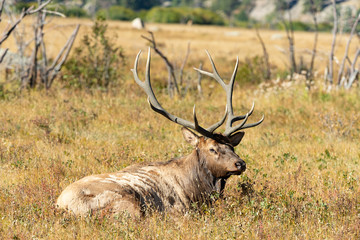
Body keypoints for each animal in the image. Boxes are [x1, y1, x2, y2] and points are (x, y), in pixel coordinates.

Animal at [56, 48, 264, 218]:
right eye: (212, 149)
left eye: (232, 146)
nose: (240, 163)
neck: (197, 190)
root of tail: (61, 205)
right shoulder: (179, 209)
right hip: (127, 203)